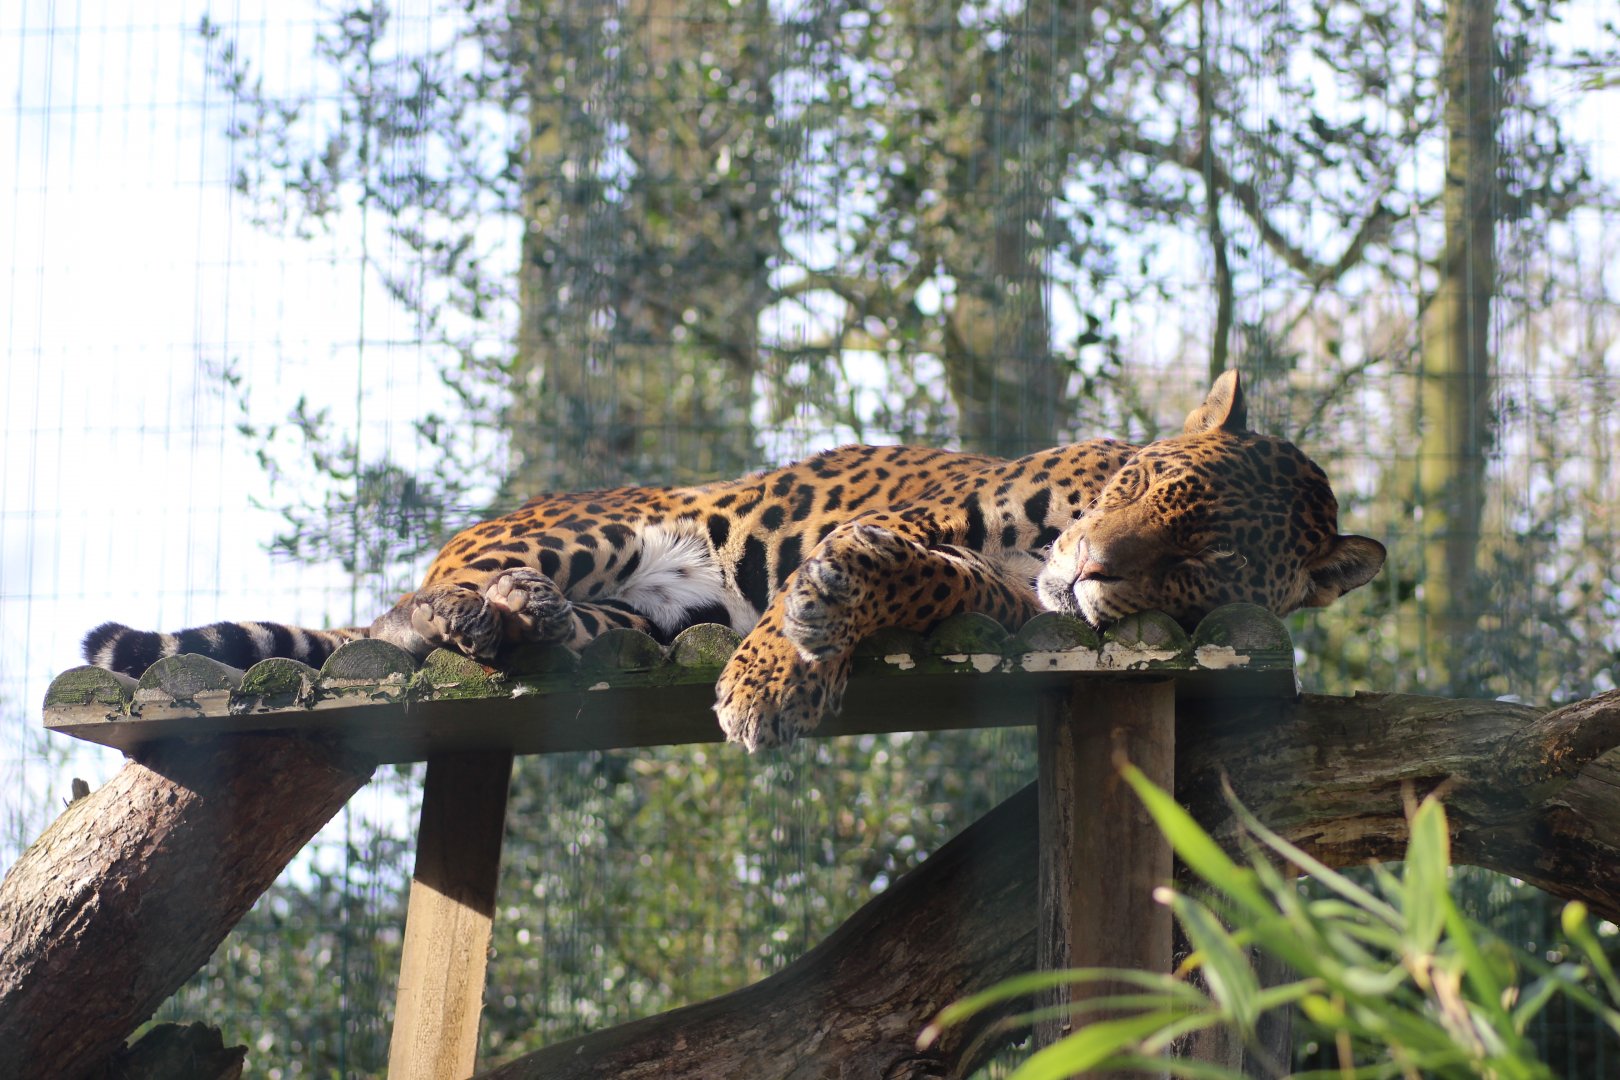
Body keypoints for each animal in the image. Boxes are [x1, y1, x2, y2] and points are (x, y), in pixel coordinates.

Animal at [83, 371, 1385, 750]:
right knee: (419, 598)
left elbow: (929, 579)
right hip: (596, 528)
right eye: (1147, 489)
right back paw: (487, 607)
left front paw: (797, 642)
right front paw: (777, 667)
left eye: (1201, 567)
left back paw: (528, 624)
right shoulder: (940, 511)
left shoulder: (1012, 612)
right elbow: (888, 556)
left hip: (636, 622)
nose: (1097, 573)